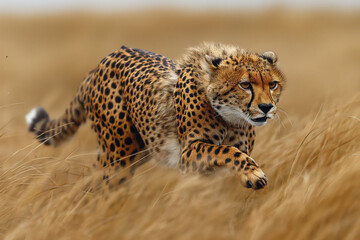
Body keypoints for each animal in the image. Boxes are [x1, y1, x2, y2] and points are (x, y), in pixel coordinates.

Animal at [25, 42, 286, 189]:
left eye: (272, 84)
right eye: (245, 85)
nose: (266, 107)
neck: (230, 118)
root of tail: (101, 63)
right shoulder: (188, 154)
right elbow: (226, 151)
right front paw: (253, 174)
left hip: (136, 150)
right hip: (121, 152)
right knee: (102, 178)